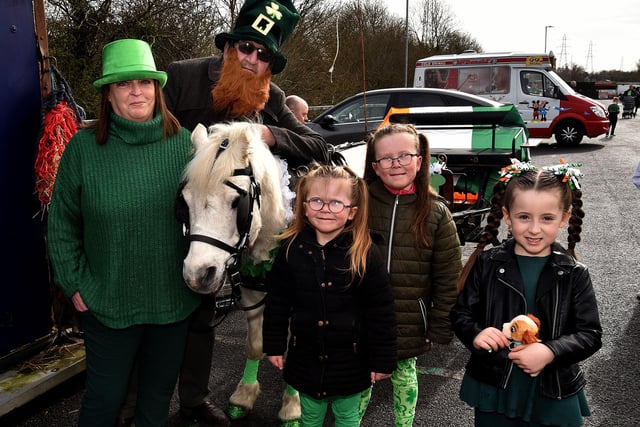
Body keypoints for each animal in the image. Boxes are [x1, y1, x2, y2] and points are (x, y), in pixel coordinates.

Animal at [179, 122, 302, 426]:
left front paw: (292, 407)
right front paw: (244, 396)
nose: (197, 274)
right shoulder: (251, 291)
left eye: (237, 202)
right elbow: (255, 345)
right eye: (185, 201)